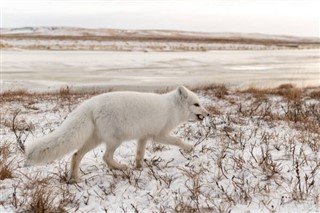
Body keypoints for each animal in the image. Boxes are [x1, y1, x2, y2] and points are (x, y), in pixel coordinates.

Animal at [25, 85, 210, 182]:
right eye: (196, 104)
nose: (208, 114)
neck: (172, 108)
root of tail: (91, 103)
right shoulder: (159, 135)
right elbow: (178, 140)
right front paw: (189, 148)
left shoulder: (143, 137)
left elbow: (139, 154)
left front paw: (139, 168)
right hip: (115, 140)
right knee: (105, 157)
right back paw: (121, 167)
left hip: (96, 140)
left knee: (76, 155)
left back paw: (75, 179)